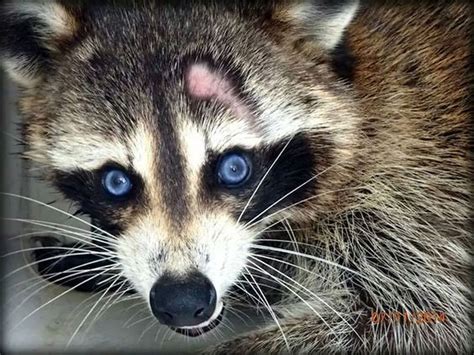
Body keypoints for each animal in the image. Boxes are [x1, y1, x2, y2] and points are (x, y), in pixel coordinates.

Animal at [1, 0, 472, 354]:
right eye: (116, 181)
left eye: (234, 168)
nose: (183, 302)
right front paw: (97, 261)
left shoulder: (409, 193)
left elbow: (413, 320)